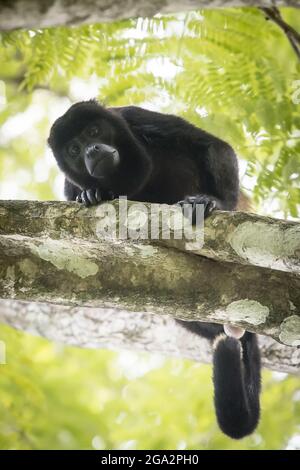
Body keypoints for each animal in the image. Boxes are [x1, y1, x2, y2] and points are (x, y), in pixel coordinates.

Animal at [48, 100, 262, 440]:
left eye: (93, 131)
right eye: (73, 149)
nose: (92, 150)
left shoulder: (135, 116)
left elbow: (209, 145)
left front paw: (216, 201)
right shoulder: (69, 188)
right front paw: (91, 194)